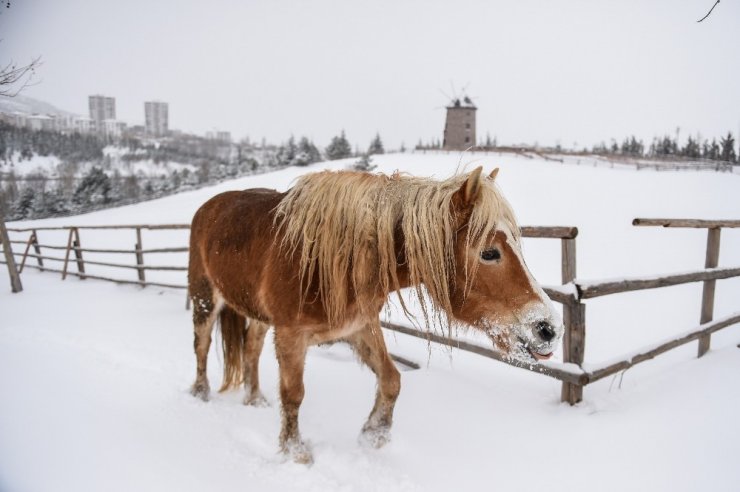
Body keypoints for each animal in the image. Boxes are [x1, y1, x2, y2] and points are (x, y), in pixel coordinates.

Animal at [186, 167, 560, 464]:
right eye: (489, 252)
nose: (548, 329)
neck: (329, 261)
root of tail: (209, 206)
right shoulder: (292, 335)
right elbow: (294, 394)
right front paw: (295, 451)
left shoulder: (360, 327)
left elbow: (391, 379)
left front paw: (374, 434)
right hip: (204, 297)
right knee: (201, 345)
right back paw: (201, 392)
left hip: (260, 317)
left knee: (250, 349)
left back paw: (254, 399)